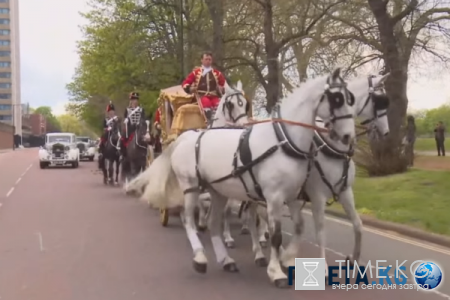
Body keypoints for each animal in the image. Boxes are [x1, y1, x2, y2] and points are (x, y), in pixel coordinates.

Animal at [144, 68, 356, 288]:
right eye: (337, 99)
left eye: (350, 98)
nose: (349, 136)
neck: (283, 141)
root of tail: (188, 136)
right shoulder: (274, 196)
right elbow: (276, 234)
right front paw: (276, 271)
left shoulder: (292, 196)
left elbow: (298, 227)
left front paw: (287, 259)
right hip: (191, 186)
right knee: (189, 220)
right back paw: (200, 257)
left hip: (217, 190)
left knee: (213, 222)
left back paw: (226, 259)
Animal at [239, 74, 390, 276]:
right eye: (379, 100)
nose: (386, 131)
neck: (331, 147)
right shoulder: (317, 195)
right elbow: (320, 233)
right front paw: (322, 267)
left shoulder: (345, 192)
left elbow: (358, 225)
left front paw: (354, 258)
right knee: (253, 218)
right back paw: (259, 252)